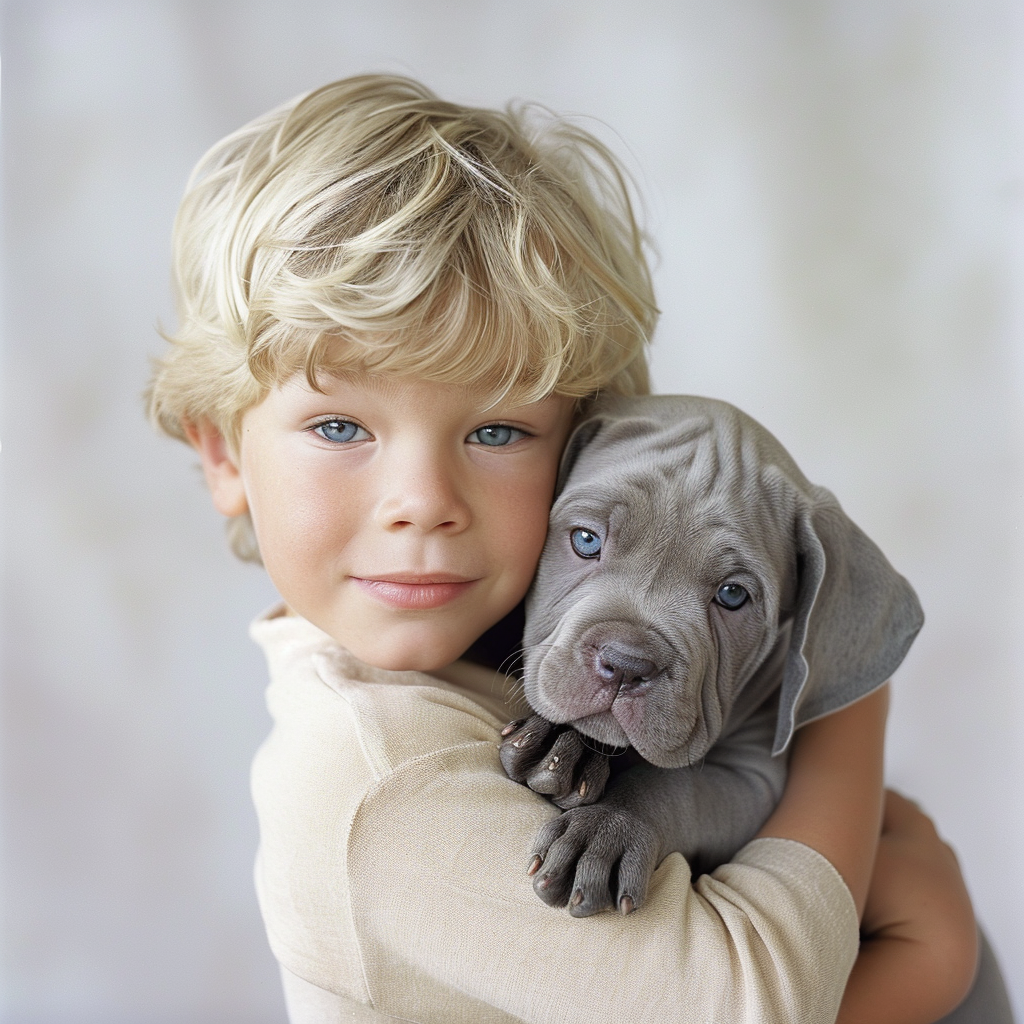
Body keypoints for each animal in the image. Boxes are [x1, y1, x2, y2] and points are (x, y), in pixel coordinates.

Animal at [499, 395, 925, 917]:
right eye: (585, 540)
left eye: (733, 595)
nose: (626, 665)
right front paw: (561, 747)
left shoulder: (753, 781)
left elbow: (676, 786)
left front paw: (608, 828)